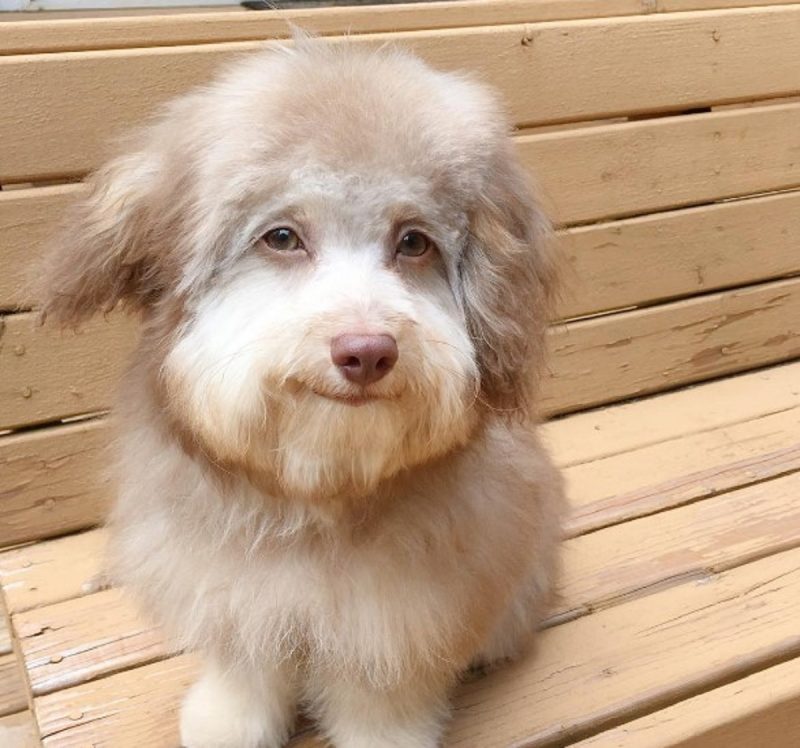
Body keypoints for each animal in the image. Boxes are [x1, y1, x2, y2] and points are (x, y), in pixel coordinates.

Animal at [37, 36, 564, 748]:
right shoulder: (234, 587)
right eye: (282, 236)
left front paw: (384, 738)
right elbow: (245, 663)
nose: (366, 351)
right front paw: (228, 720)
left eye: (414, 242)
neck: (319, 491)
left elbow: (381, 693)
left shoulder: (399, 615)